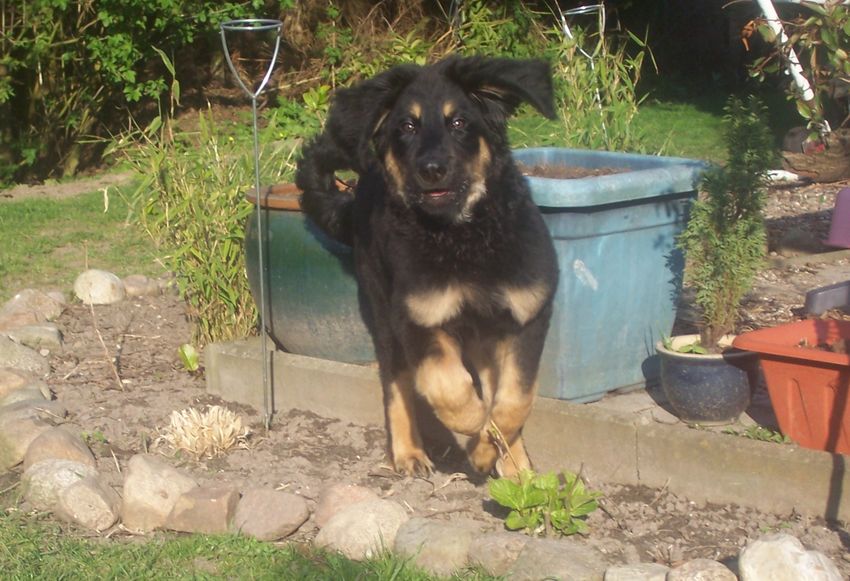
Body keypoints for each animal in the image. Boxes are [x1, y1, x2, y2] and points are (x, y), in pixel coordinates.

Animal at [295, 55, 558, 477]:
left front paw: (495, 450)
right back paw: (410, 452)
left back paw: (513, 464)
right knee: (397, 382)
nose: (432, 169)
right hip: (383, 310)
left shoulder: (527, 313)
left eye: (459, 122)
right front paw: (473, 424)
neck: (463, 236)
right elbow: (446, 385)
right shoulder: (417, 316)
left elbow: (515, 397)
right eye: (407, 126)